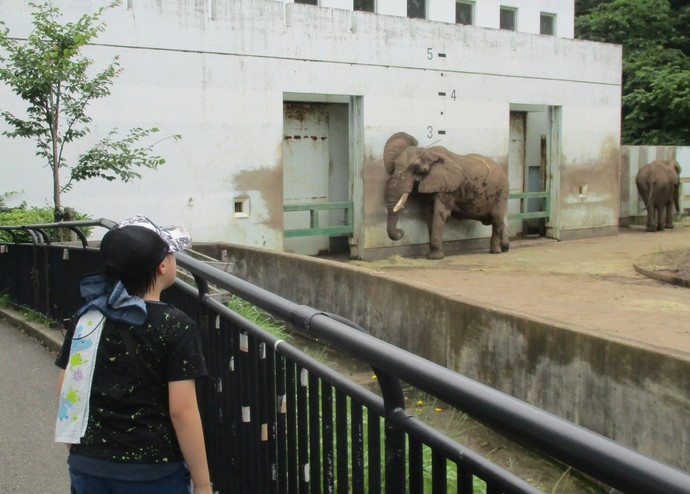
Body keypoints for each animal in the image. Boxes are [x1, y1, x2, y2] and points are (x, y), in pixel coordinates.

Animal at [382, 131, 510, 258]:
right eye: (394, 165)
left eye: (417, 168)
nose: (401, 232)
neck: (429, 152)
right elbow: (429, 214)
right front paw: (431, 255)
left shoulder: (448, 188)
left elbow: (440, 213)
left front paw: (434, 257)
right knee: (496, 220)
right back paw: (505, 247)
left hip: (501, 191)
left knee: (496, 218)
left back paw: (495, 251)